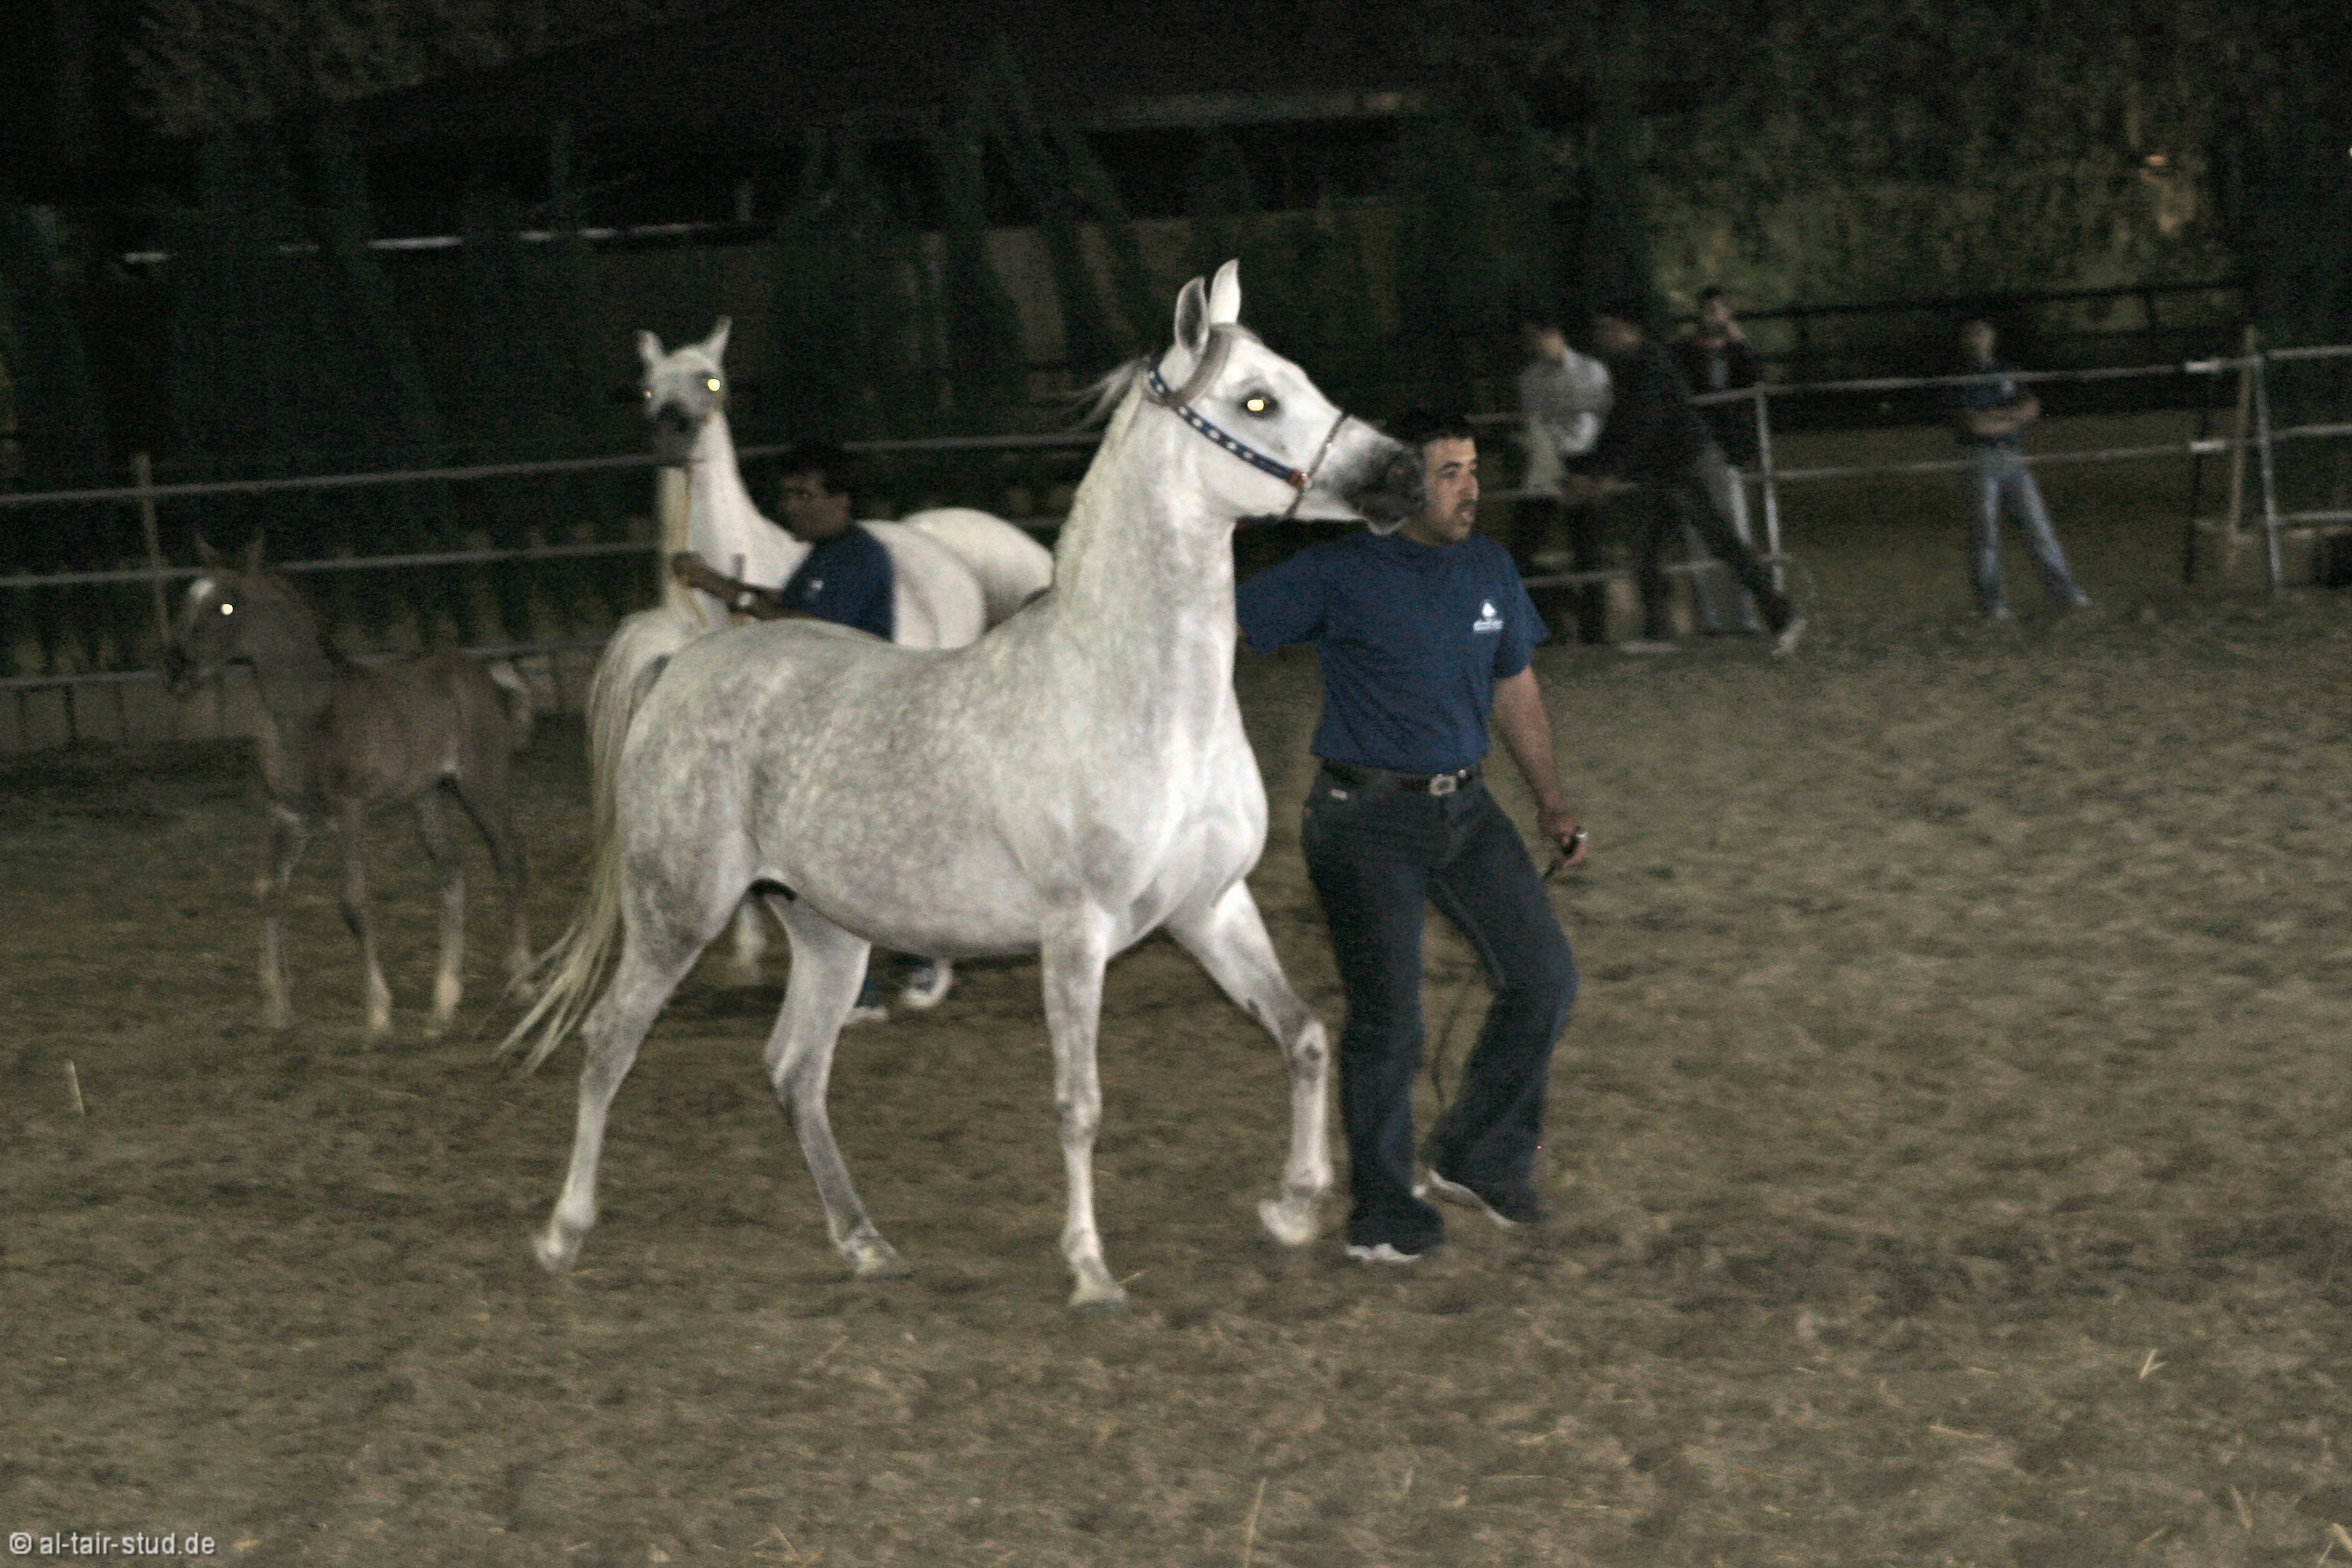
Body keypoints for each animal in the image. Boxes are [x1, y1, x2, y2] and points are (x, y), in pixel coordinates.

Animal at [163, 537, 536, 1038]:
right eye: (188, 600)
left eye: (226, 606)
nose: (175, 670)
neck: (304, 712)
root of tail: (486, 676)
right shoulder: (291, 814)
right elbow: (268, 890)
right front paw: (277, 1006)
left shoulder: (348, 812)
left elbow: (354, 903)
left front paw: (377, 1014)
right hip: (428, 795)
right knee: (452, 870)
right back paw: (442, 1007)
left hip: (482, 784)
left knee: (509, 862)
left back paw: (524, 983)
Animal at [507, 261, 1419, 1310]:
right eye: (1256, 400)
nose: (1402, 472)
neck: (1135, 698)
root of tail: (685, 663)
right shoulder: (1076, 933)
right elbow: (1079, 1103)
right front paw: (1091, 1268)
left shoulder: (1212, 907)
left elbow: (1304, 1035)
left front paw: (1294, 1206)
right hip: (676, 910)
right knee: (609, 1041)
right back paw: (562, 1232)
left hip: (828, 930)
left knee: (794, 1069)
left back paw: (863, 1239)